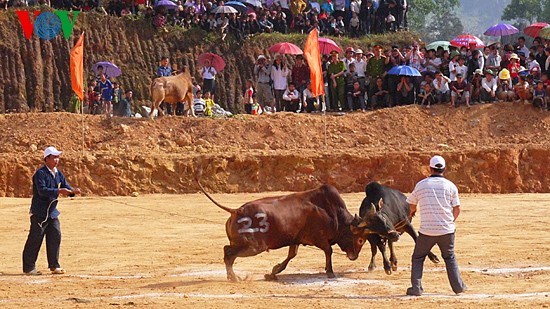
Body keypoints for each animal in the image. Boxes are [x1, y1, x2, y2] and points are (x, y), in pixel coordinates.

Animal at [198, 182, 366, 280]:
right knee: (228, 253)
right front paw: (330, 272)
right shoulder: (319, 239)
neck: (332, 211)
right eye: (360, 240)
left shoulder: (295, 240)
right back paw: (234, 277)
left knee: (228, 252)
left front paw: (272, 272)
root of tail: (236, 211)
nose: (354, 256)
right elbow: (328, 251)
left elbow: (291, 255)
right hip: (254, 247)